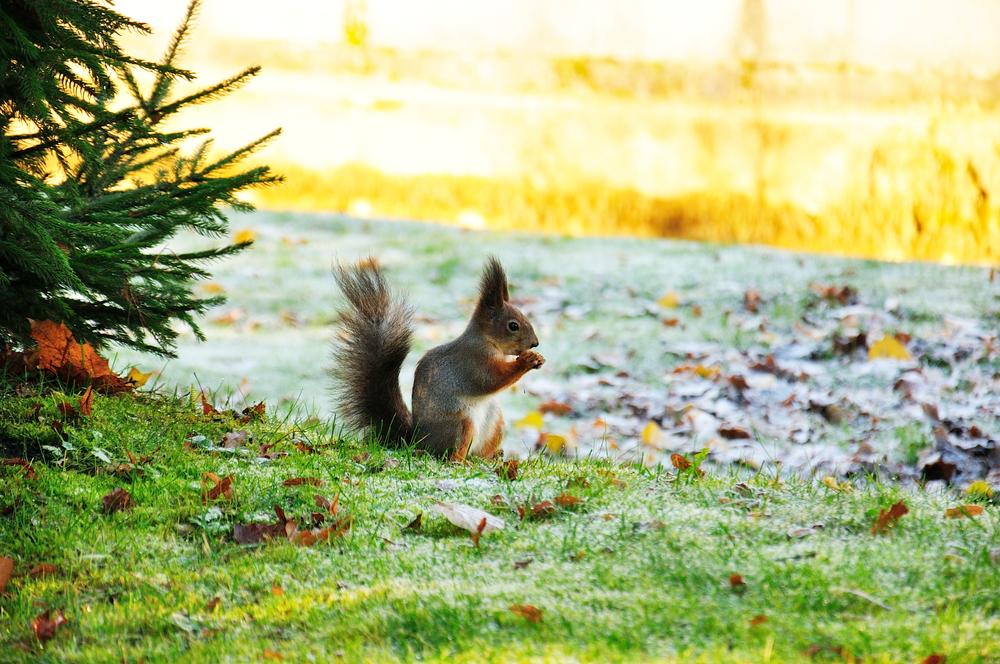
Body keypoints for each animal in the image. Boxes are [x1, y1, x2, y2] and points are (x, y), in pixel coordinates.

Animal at [332, 256, 544, 460]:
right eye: (513, 325)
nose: (535, 343)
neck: (486, 340)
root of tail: (417, 441)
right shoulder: (473, 361)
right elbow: (491, 379)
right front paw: (528, 360)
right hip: (460, 425)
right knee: (448, 454)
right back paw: (460, 460)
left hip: (494, 421)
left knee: (480, 451)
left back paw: (491, 457)